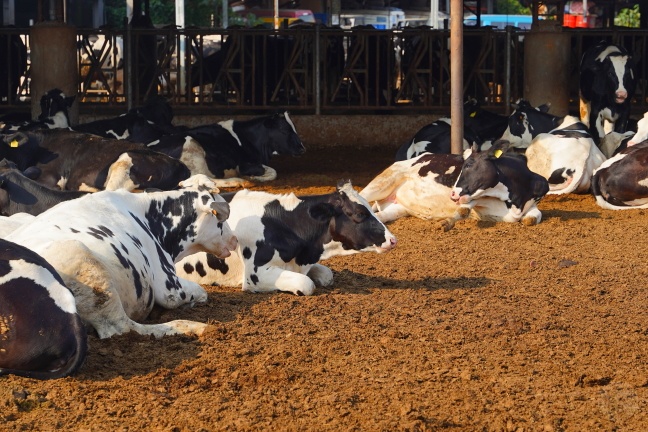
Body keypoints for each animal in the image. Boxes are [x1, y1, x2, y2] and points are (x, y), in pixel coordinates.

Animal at [5, 174, 238, 340]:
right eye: (220, 219)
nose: (234, 240)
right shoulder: (169, 287)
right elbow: (201, 292)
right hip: (88, 269)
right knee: (122, 328)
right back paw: (192, 327)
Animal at [362, 141, 548, 230]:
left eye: (469, 164)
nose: (452, 194)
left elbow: (533, 217)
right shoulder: (474, 199)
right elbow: (464, 210)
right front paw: (446, 222)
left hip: (398, 208)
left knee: (379, 216)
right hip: (383, 181)